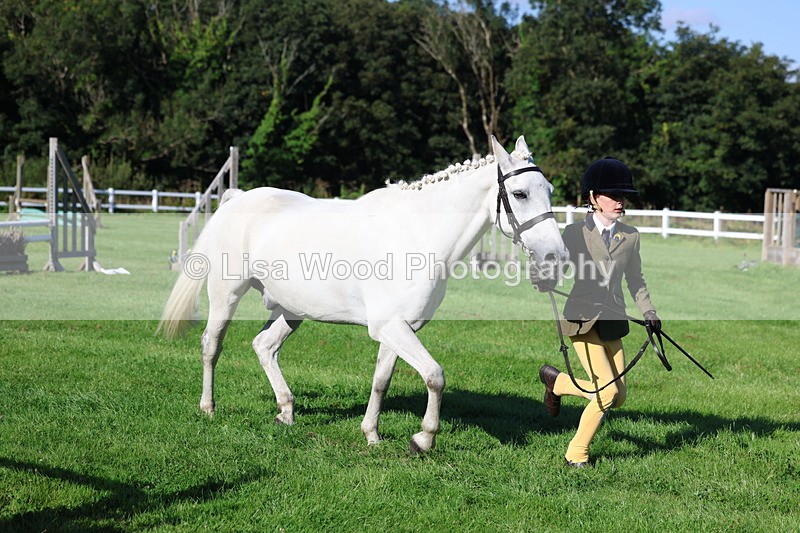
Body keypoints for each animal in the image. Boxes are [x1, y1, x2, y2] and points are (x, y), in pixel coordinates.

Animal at [159, 135, 569, 453]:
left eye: (549, 192)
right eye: (519, 193)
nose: (556, 257)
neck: (418, 235)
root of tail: (238, 197)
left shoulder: (399, 329)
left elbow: (381, 381)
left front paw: (371, 434)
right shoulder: (390, 327)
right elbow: (435, 376)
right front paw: (424, 439)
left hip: (292, 310)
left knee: (264, 346)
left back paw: (286, 411)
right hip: (226, 295)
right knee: (211, 345)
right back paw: (209, 408)